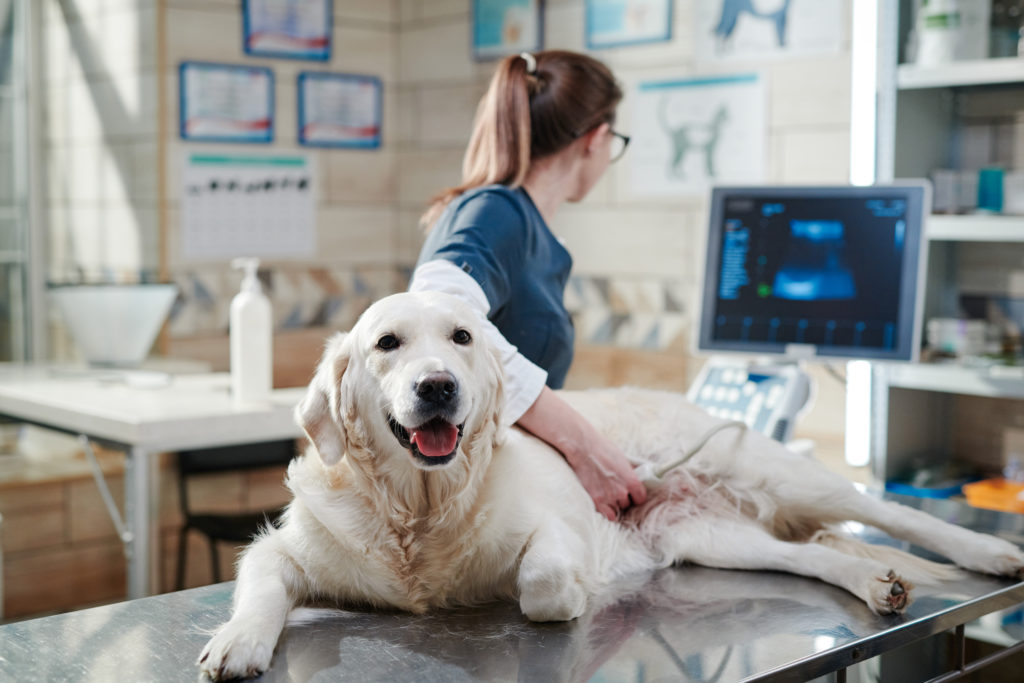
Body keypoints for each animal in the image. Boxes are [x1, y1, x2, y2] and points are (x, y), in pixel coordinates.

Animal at [199, 288, 1024, 679]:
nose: (438, 387)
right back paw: (876, 583)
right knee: (817, 555)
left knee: (879, 507)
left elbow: (541, 581)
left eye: (462, 337)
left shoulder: (555, 530)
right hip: (713, 537)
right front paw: (237, 640)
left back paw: (990, 552)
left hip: (772, 470)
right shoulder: (281, 548)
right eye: (386, 344)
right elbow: (262, 584)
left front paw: (563, 593)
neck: (419, 508)